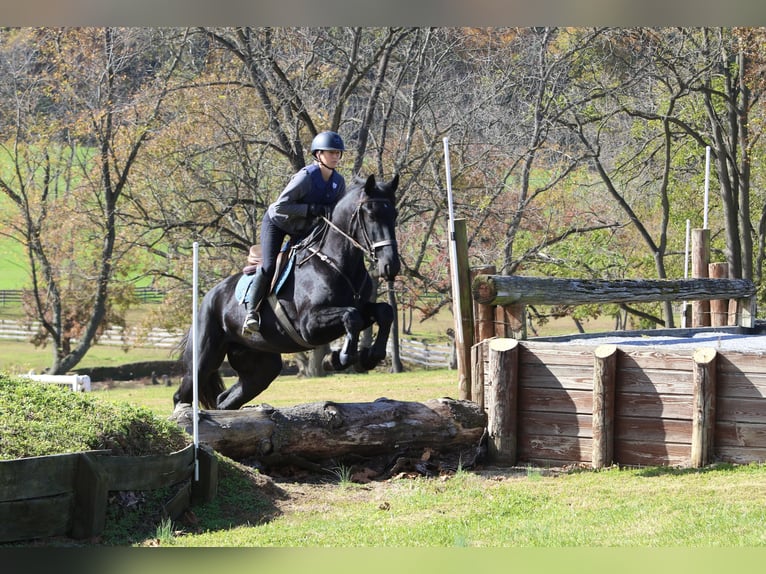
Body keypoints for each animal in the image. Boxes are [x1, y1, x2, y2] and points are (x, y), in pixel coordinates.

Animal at [173, 173, 400, 410]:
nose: (391, 266)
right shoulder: (309, 325)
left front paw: (370, 356)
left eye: (394, 214)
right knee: (183, 395)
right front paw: (341, 357)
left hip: (261, 367)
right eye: (371, 214)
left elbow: (383, 312)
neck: (336, 263)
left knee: (225, 400)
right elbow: (351, 316)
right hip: (203, 359)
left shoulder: (359, 308)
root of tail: (207, 299)